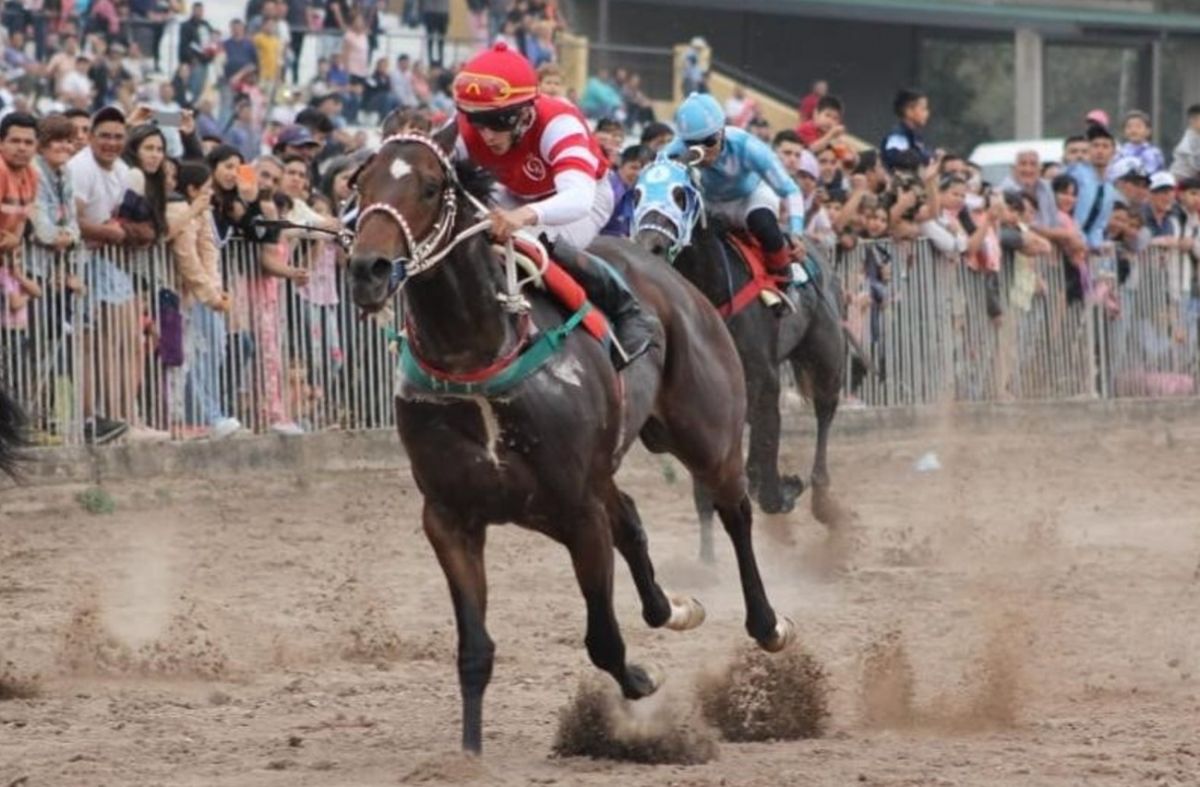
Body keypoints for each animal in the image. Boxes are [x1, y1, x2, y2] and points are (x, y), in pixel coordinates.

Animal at [345, 130, 794, 754]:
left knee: (735, 512)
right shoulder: (449, 517)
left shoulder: (577, 510)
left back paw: (768, 623)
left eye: (431, 188)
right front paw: (468, 756)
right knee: (630, 519)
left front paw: (642, 679)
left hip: (708, 434)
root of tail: (667, 270)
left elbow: (602, 636)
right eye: (359, 185)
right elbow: (474, 650)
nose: (368, 268)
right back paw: (673, 609)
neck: (478, 358)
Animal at [631, 156, 847, 562]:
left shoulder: (763, 379)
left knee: (825, 413)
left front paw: (785, 488)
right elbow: (706, 488)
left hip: (825, 352)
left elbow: (765, 452)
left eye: (680, 194)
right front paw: (707, 560)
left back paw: (823, 501)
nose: (649, 246)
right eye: (635, 193)